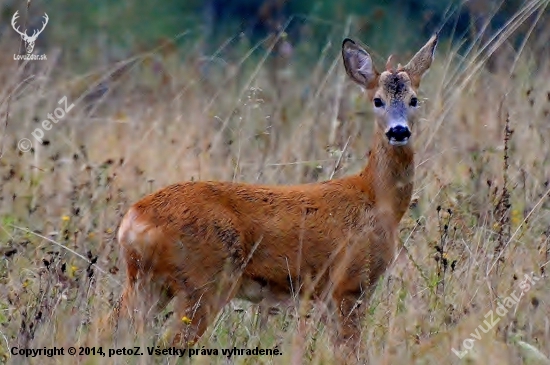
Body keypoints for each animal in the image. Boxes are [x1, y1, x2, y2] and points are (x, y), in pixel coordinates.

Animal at [113, 33, 440, 352]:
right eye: (377, 100)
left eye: (414, 99)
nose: (398, 131)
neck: (377, 199)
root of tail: (133, 221)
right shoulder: (349, 283)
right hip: (204, 281)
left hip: (146, 282)